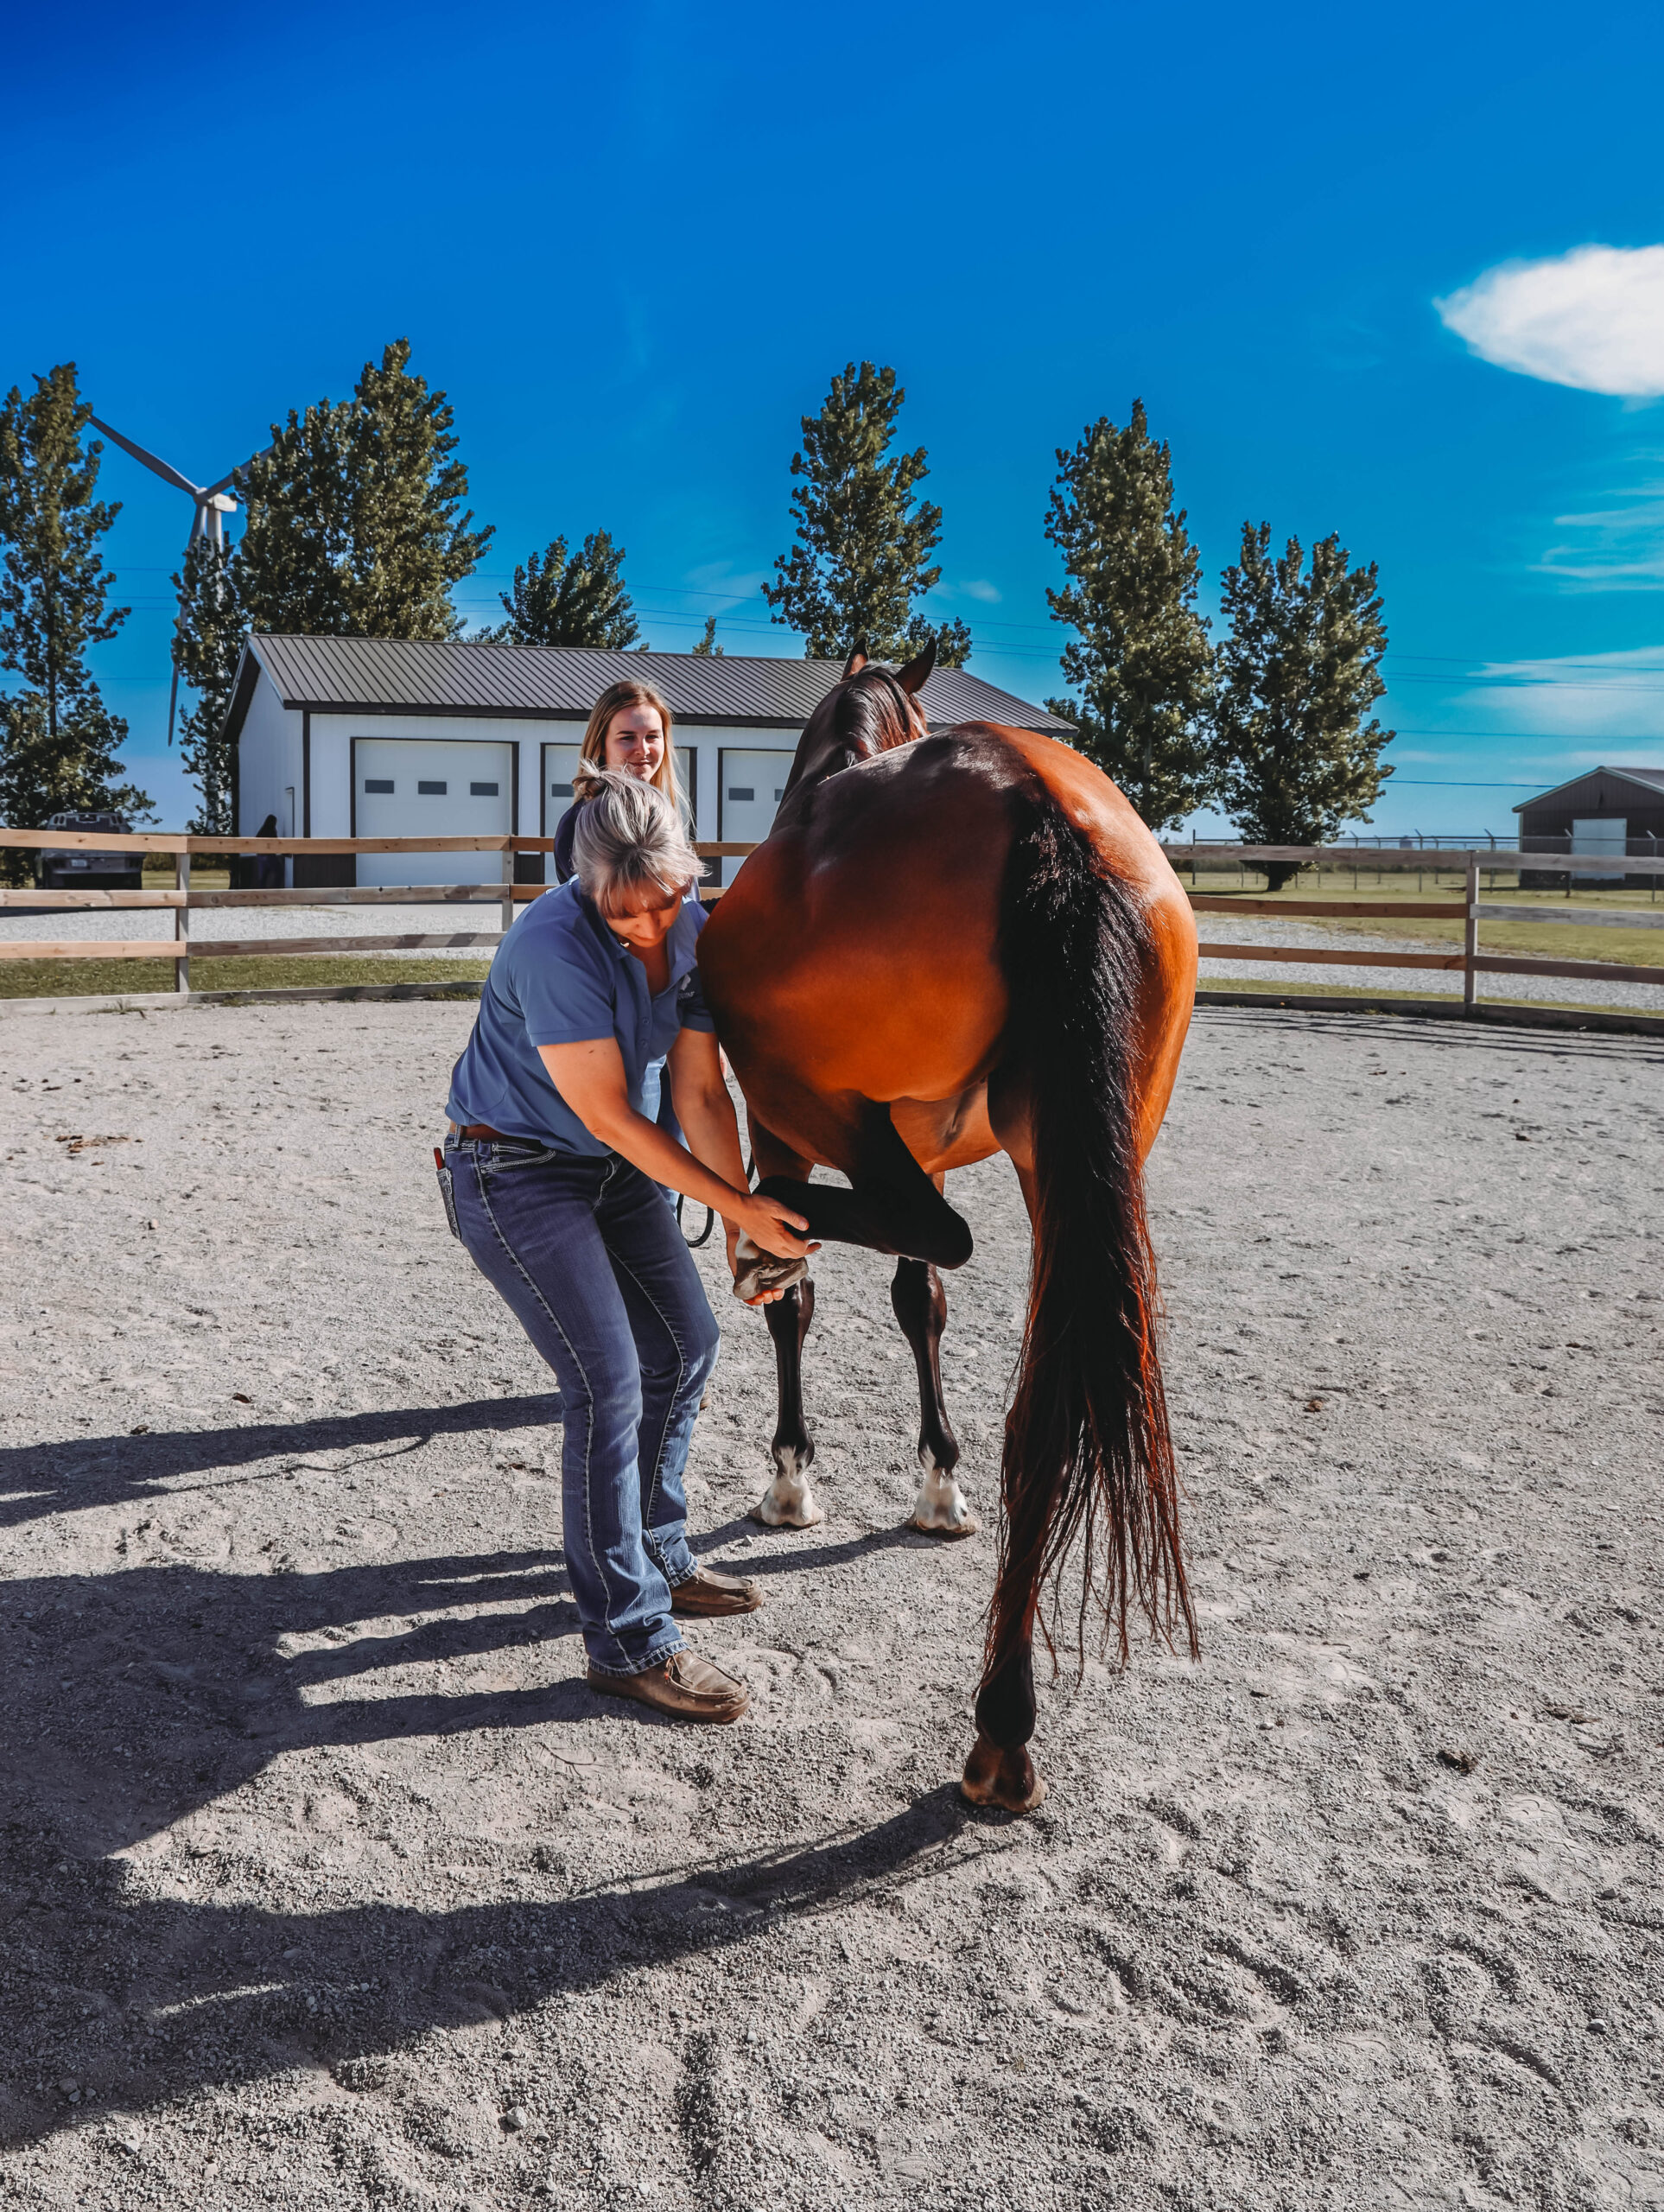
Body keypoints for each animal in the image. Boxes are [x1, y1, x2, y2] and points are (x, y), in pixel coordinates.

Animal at [695, 641, 1199, 1813]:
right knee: (1040, 1411)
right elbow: (918, 1299)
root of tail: (1035, 799)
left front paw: (792, 1479)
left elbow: (823, 1303)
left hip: (814, 1102)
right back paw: (1003, 1727)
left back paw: (763, 1240)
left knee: (905, 1233)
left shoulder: (790, 1123)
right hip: (1072, 1158)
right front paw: (938, 1483)